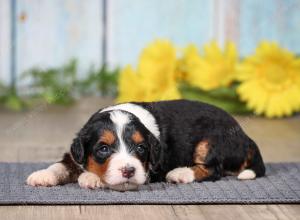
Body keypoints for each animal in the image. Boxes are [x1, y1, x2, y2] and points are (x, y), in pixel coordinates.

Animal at [25, 99, 264, 191]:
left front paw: (91, 178)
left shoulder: (149, 170)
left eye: (141, 149)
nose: (128, 170)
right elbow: (62, 164)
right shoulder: (76, 154)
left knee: (214, 169)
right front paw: (42, 175)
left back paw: (180, 173)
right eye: (103, 149)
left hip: (211, 141)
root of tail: (245, 136)